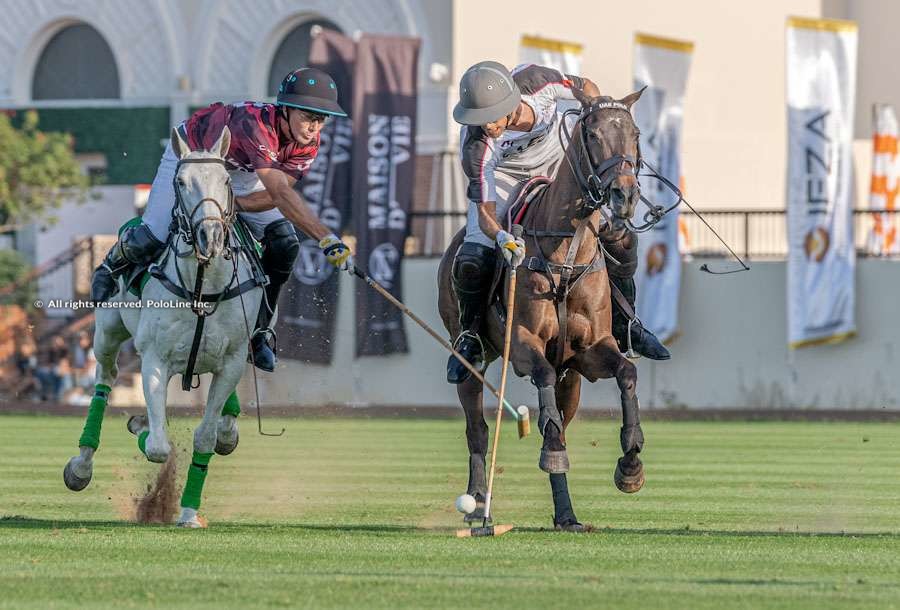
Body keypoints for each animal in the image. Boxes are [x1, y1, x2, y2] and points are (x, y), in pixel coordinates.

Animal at [63, 126, 264, 524]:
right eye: (181, 182)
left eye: (226, 180)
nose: (210, 238)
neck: (202, 286)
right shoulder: (154, 359)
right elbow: (158, 446)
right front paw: (142, 425)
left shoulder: (231, 360)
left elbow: (204, 438)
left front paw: (188, 512)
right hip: (107, 332)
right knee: (104, 380)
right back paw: (81, 465)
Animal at [438, 88, 644, 528]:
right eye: (593, 134)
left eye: (635, 134)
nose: (625, 194)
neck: (565, 255)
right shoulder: (523, 344)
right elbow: (543, 393)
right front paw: (552, 456)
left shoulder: (591, 350)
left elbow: (627, 372)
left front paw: (631, 465)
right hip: (471, 357)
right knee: (477, 428)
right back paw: (477, 501)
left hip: (574, 378)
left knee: (562, 416)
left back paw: (565, 513)